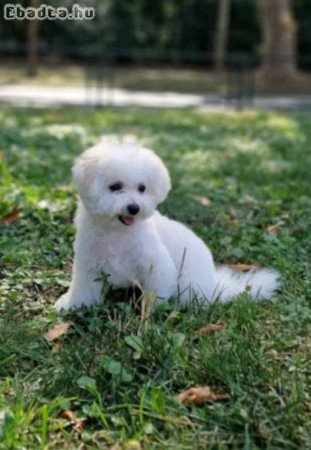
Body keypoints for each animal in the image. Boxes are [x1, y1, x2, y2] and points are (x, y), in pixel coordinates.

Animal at [54, 142, 280, 312]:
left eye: (142, 188)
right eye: (115, 187)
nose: (134, 208)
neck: (116, 232)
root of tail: (214, 284)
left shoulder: (158, 267)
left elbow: (157, 292)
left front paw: (150, 313)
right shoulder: (88, 266)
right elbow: (83, 290)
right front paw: (71, 305)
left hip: (188, 284)